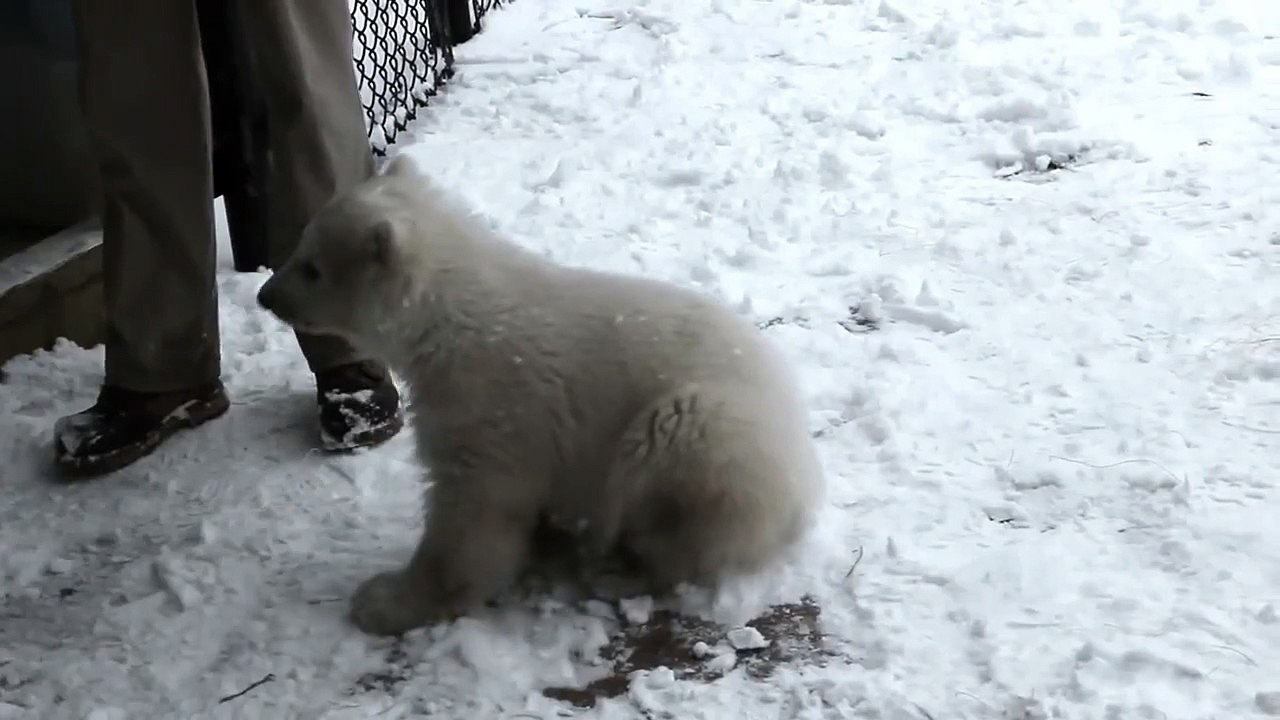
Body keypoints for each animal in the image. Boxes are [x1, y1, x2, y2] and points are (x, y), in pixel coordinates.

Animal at [256, 155, 826, 636]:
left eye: (312, 266)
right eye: (301, 242)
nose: (266, 295)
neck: (449, 320)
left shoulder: (492, 407)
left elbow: (472, 513)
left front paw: (382, 600)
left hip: (717, 437)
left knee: (673, 471)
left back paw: (620, 569)